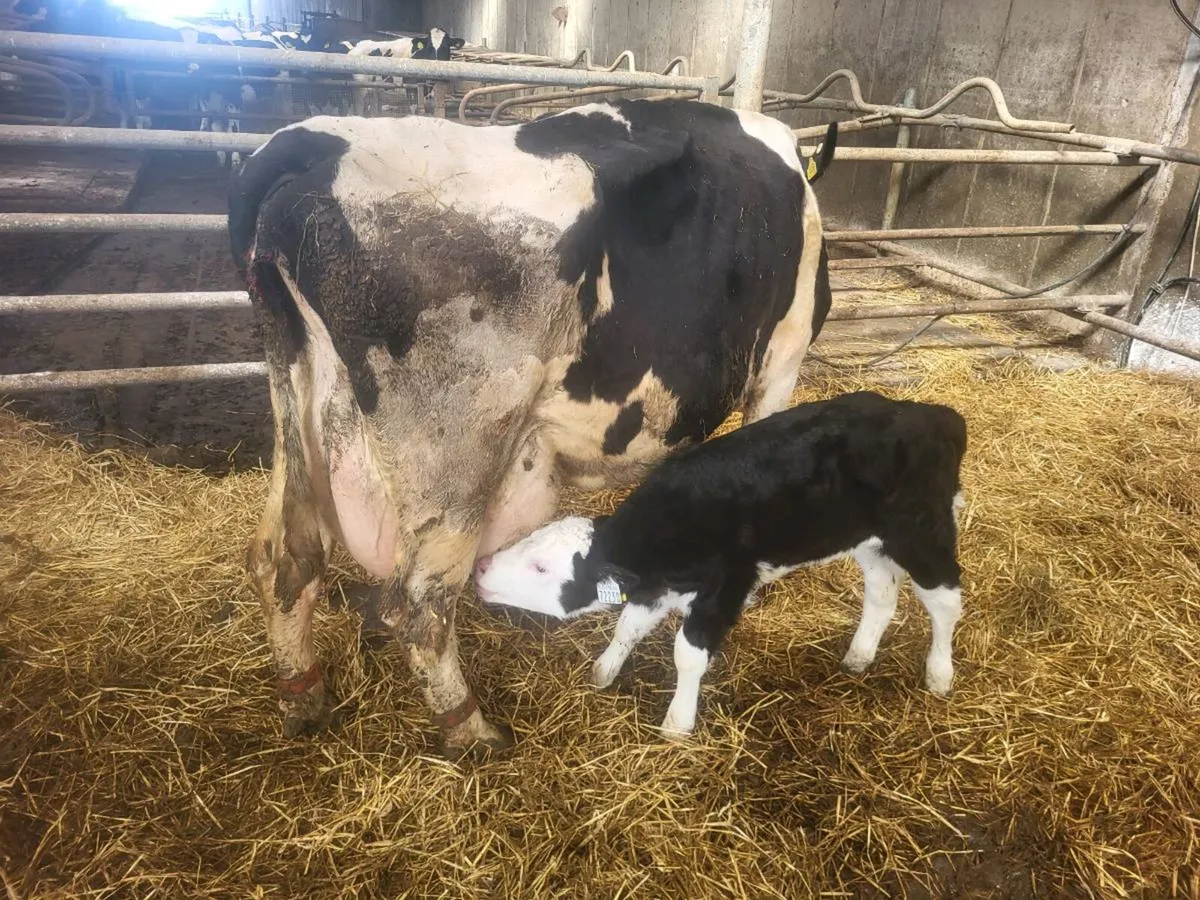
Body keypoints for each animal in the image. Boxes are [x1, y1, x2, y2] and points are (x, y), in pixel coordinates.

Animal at [227, 99, 838, 759]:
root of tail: (308, 146)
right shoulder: (780, 362)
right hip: (456, 461)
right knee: (418, 604)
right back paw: (472, 731)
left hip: (302, 407)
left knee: (283, 560)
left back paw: (303, 697)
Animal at [474, 392, 968, 739]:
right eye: (527, 541)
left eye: (541, 568)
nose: (479, 568)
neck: (667, 529)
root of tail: (933, 415)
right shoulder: (655, 587)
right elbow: (628, 626)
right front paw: (604, 671)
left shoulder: (726, 588)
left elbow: (688, 654)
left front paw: (678, 723)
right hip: (868, 542)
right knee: (882, 594)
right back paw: (859, 656)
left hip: (923, 532)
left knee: (946, 601)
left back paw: (940, 674)